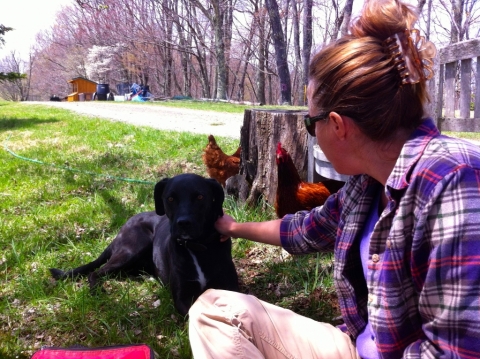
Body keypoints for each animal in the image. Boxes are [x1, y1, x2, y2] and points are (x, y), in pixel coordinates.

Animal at [50, 173, 238, 316]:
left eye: (200, 196)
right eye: (170, 198)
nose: (183, 223)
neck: (196, 247)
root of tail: (124, 226)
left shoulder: (231, 288)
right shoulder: (182, 297)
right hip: (133, 247)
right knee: (96, 272)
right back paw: (96, 290)